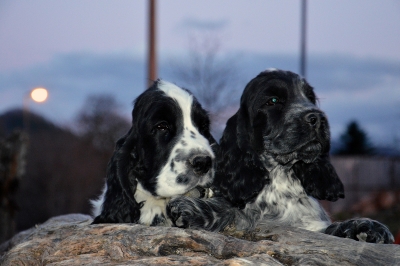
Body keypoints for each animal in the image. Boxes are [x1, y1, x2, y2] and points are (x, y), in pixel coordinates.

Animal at [168, 69, 394, 243]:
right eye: (273, 101)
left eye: (310, 98)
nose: (317, 118)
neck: (281, 177)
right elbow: (230, 211)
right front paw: (194, 210)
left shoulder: (310, 225)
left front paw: (369, 227)